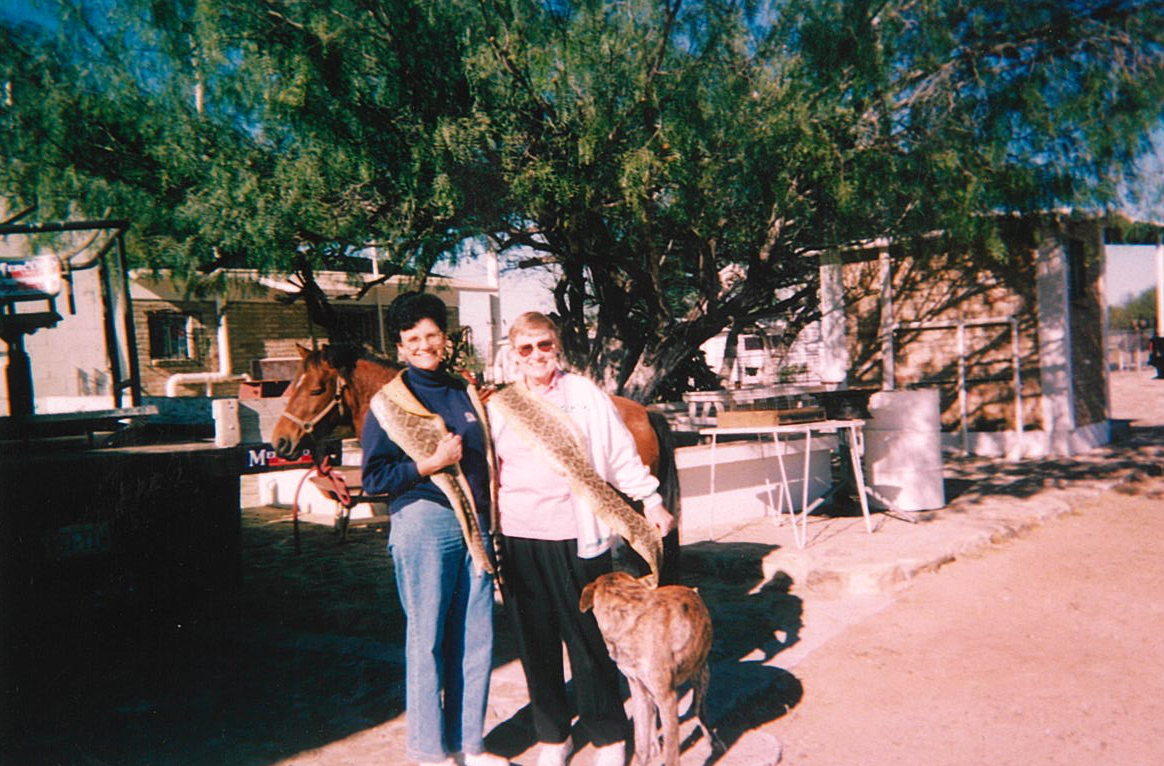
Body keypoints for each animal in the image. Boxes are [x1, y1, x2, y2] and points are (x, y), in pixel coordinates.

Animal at [577, 570, 721, 759]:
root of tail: (691, 590)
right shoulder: (637, 688)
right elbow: (641, 744)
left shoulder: (667, 697)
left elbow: (671, 752)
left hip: (701, 674)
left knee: (699, 710)